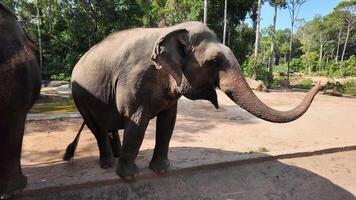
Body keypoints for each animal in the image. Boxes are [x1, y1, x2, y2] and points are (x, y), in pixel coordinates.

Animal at [64, 21, 320, 180]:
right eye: (214, 62)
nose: (319, 85)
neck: (170, 30)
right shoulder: (134, 80)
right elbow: (137, 122)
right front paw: (130, 176)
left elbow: (168, 122)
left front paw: (161, 170)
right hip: (79, 96)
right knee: (97, 127)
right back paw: (107, 163)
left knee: (109, 125)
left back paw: (115, 156)